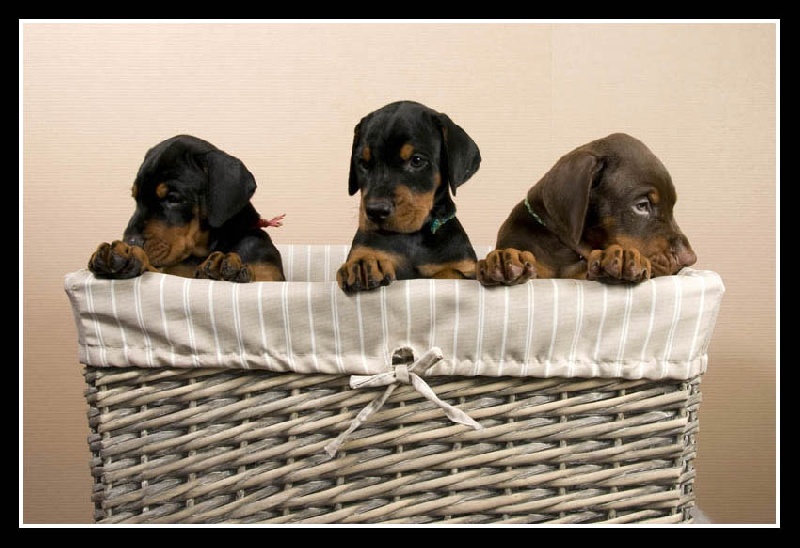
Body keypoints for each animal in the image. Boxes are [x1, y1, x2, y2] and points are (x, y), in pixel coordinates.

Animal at [88, 134, 285, 283]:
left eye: (173, 199)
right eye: (136, 198)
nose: (131, 242)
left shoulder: (269, 273)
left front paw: (224, 266)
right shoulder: (174, 273)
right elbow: (153, 268)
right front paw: (127, 255)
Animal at [336, 100, 482, 294]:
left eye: (417, 160)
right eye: (363, 163)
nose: (375, 211)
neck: (414, 235)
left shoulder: (463, 265)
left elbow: (450, 273)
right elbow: (364, 253)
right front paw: (362, 264)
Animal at [477, 132, 696, 286]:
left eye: (672, 206)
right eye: (642, 205)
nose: (690, 259)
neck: (561, 246)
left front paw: (624, 259)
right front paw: (504, 259)